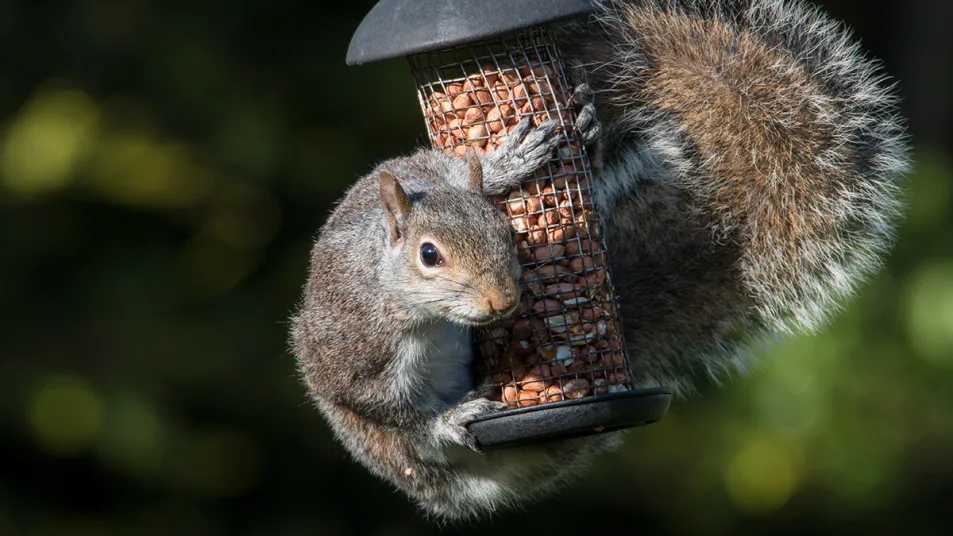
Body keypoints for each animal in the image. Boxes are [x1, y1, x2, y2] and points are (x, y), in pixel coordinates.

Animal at [288, 0, 908, 524]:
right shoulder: (355, 355)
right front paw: (451, 418)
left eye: (506, 233)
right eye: (428, 255)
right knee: (415, 447)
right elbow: (396, 413)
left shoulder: (420, 171)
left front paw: (512, 161)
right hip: (391, 453)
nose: (502, 301)